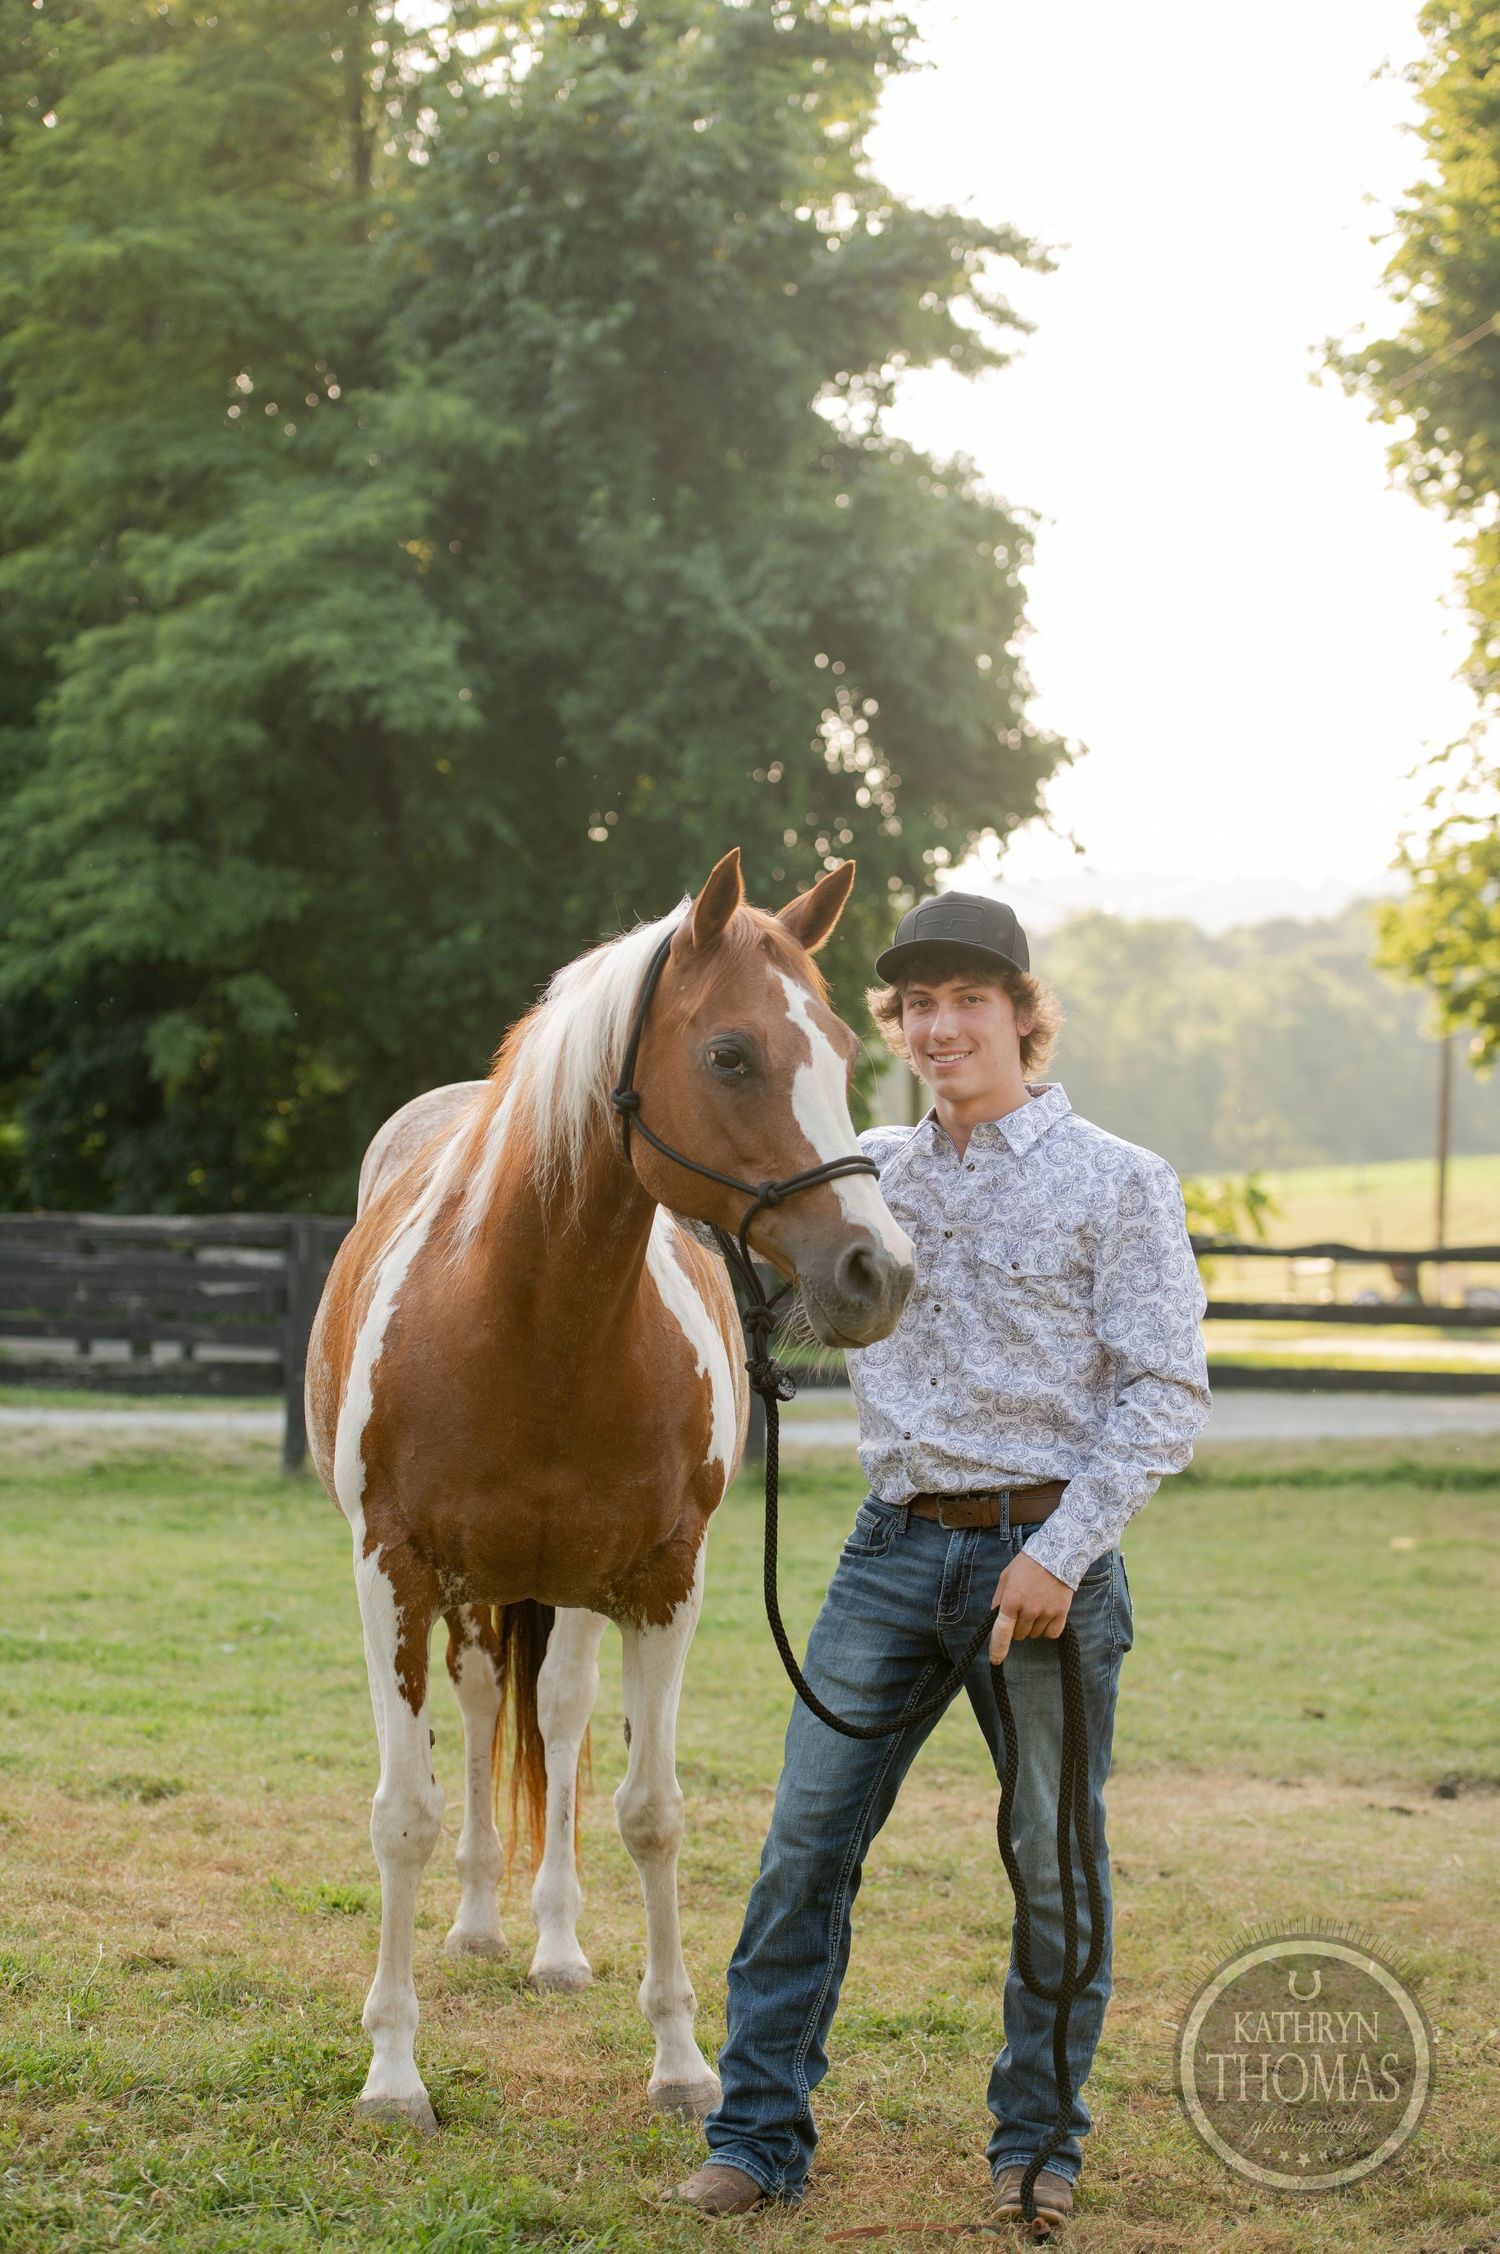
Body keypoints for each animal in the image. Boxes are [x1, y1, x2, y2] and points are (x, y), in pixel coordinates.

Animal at [305, 849, 915, 2132]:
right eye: (730, 1053)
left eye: (843, 1045)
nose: (877, 1272)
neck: (534, 1312)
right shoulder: (393, 1573)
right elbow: (404, 1815)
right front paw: (393, 2071)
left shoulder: (663, 1581)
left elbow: (650, 1810)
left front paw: (682, 2059)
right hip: (475, 1593)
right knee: (486, 1705)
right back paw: (480, 1924)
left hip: (572, 1591)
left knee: (554, 1712)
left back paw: (551, 1940)